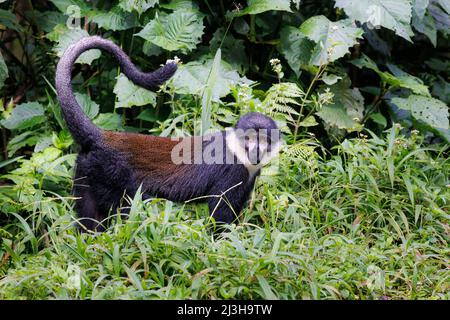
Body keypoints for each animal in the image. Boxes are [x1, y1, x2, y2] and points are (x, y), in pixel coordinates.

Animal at [55, 36, 282, 231]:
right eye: (249, 138)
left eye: (264, 140)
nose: (256, 150)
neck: (239, 151)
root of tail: (102, 137)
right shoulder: (232, 171)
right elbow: (220, 216)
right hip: (114, 175)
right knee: (134, 205)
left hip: (87, 173)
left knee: (90, 222)